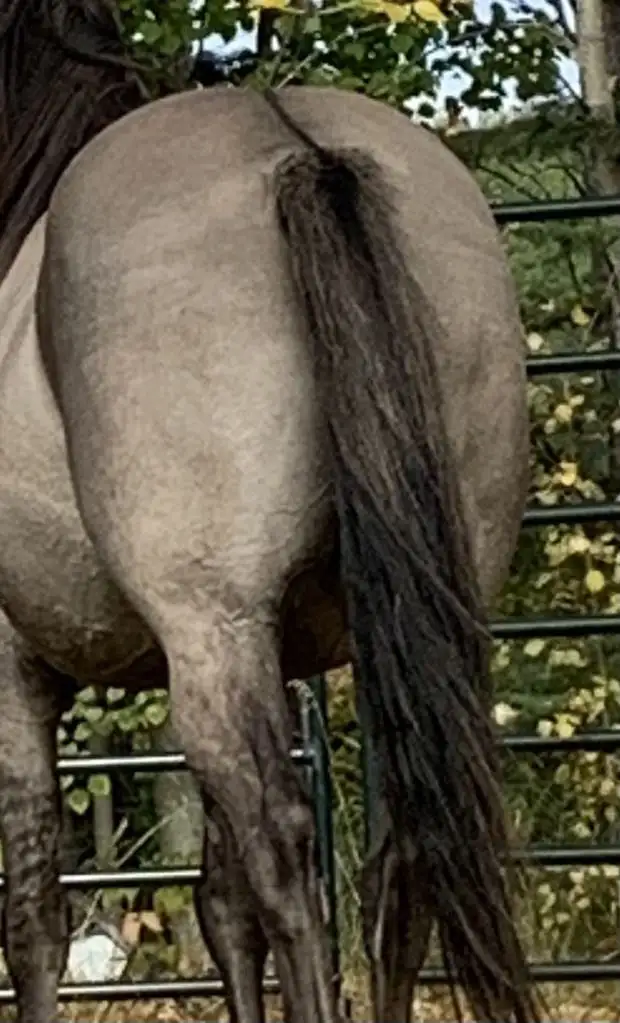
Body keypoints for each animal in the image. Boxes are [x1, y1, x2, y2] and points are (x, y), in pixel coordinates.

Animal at [0, 2, 540, 1022]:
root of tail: (297, 148)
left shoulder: (19, 677)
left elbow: (35, 918)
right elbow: (219, 908)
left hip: (216, 633)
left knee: (288, 856)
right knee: (396, 863)